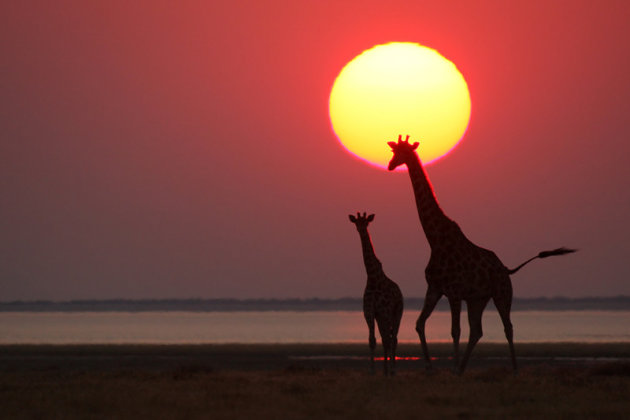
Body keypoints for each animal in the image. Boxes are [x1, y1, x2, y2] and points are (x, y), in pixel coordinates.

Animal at [350, 212, 404, 376]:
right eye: (356, 223)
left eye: (366, 223)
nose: (361, 230)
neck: (373, 278)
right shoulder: (369, 312)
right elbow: (372, 340)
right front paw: (373, 371)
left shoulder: (385, 311)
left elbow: (387, 339)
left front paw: (390, 370)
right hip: (381, 317)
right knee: (386, 338)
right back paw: (386, 370)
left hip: (397, 313)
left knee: (393, 338)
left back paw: (392, 370)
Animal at [388, 135, 576, 374]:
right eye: (394, 151)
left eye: (402, 153)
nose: (390, 165)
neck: (434, 240)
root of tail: (506, 269)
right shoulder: (435, 288)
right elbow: (420, 324)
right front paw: (431, 368)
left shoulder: (454, 292)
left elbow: (454, 331)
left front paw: (451, 369)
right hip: (478, 299)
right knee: (477, 330)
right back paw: (463, 369)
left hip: (502, 293)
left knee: (508, 327)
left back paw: (514, 370)